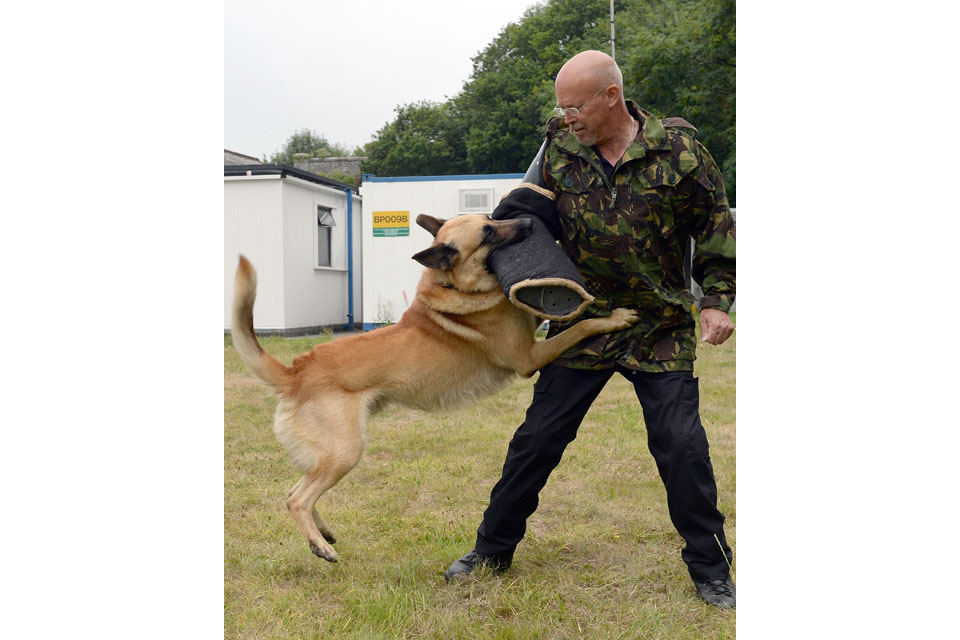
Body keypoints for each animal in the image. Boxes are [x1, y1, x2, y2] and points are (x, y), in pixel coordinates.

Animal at [232, 212, 636, 564]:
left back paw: (323, 534)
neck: (454, 284)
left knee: (295, 491)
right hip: (345, 452)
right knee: (296, 499)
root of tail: (296, 370)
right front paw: (614, 317)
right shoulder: (529, 356)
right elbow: (579, 327)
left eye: (492, 218)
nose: (528, 222)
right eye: (488, 234)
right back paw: (321, 546)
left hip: (330, 455)